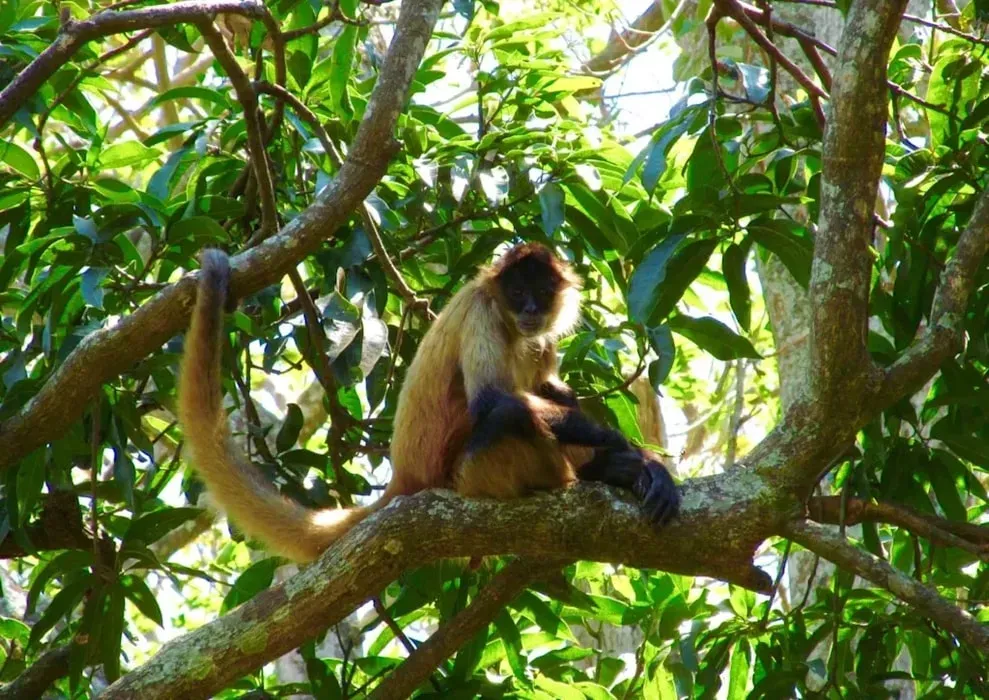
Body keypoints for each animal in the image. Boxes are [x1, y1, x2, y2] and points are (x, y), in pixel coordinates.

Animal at [178, 244, 679, 564]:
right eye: (517, 293)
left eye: (541, 292)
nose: (531, 310)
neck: (512, 326)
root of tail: (406, 474)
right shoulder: (482, 309)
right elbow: (494, 402)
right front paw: (634, 455)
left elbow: (553, 389)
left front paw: (637, 460)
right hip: (469, 471)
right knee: (508, 414)